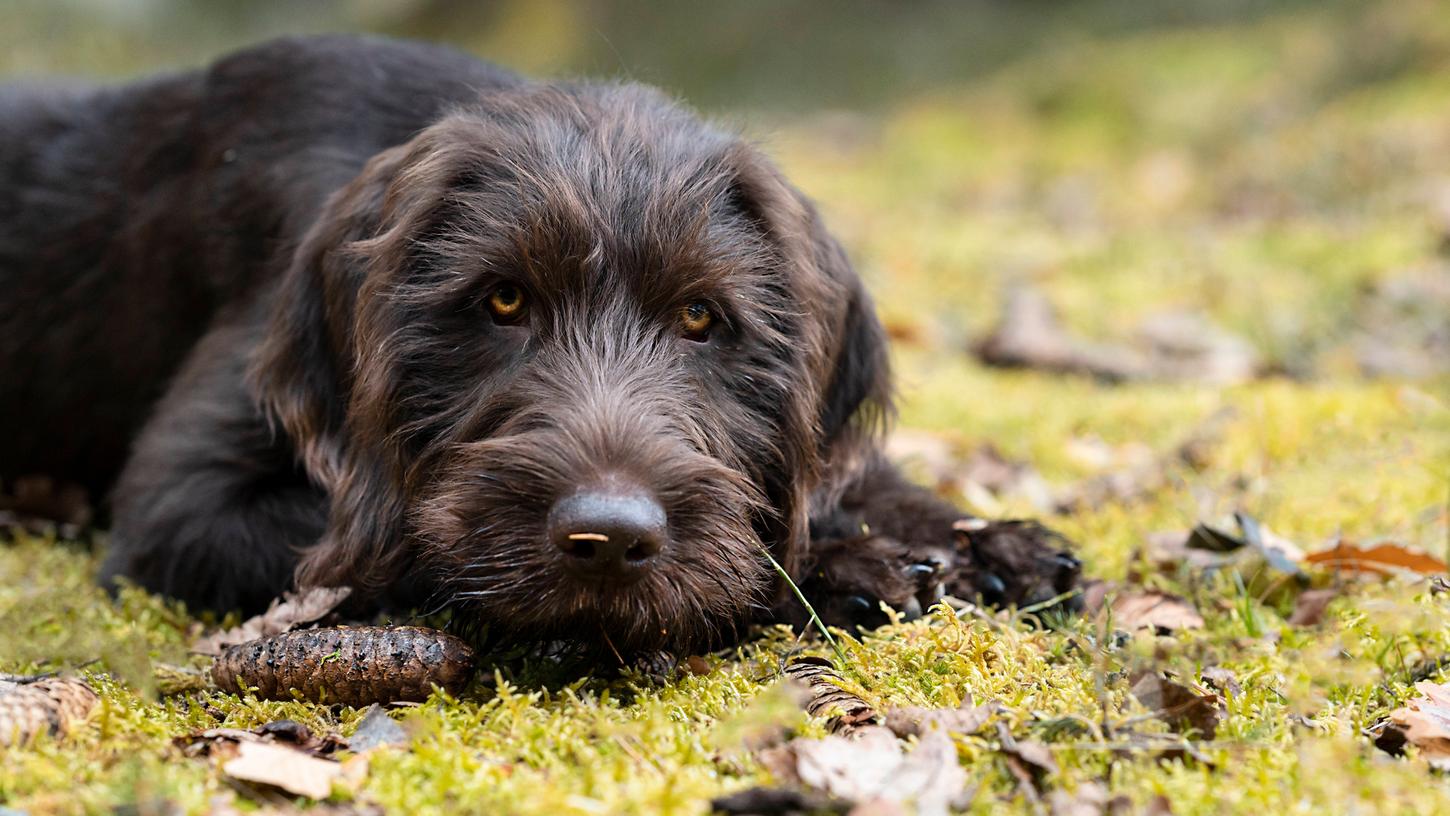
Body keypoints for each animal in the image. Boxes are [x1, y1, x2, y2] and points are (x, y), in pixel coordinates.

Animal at [0, 35, 1078, 663]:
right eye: (503, 301)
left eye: (701, 318)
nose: (610, 537)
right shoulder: (184, 510)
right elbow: (408, 539)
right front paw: (840, 567)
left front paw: (974, 535)